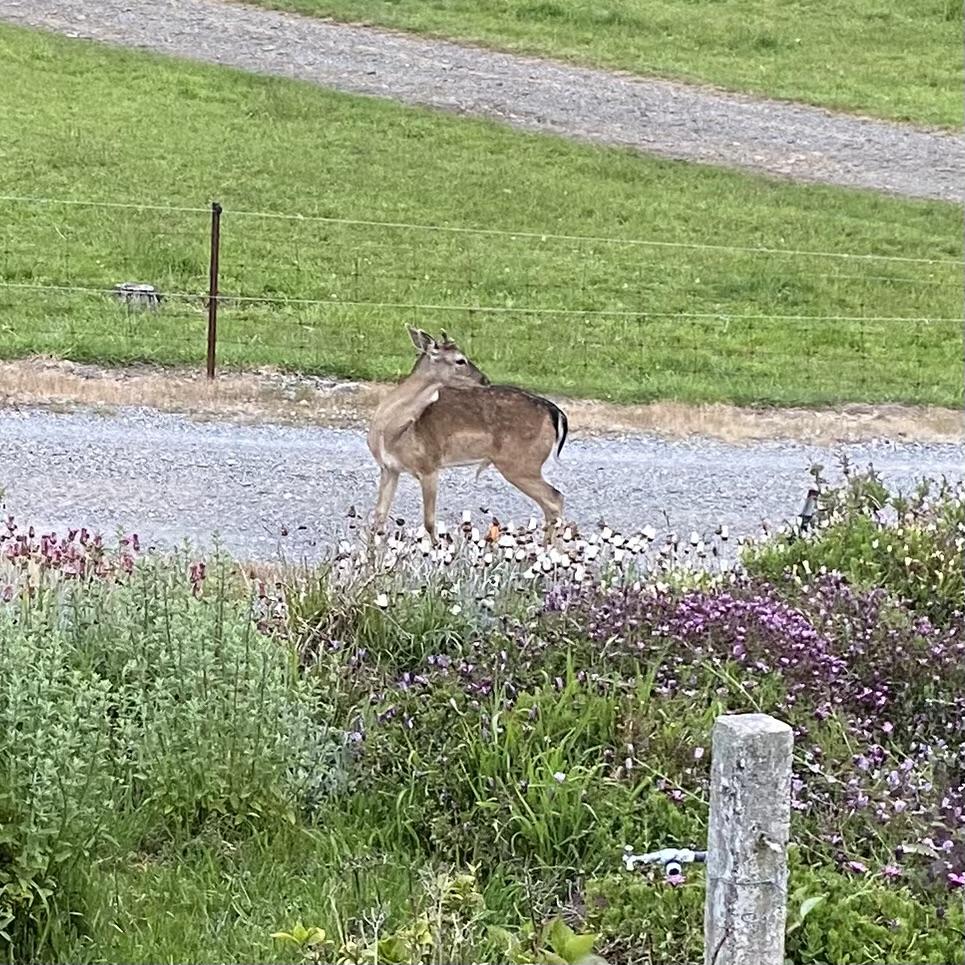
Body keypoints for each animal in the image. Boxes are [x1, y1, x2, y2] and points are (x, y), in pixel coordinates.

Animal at [367, 327, 568, 540]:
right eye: (460, 360)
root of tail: (554, 412)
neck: (394, 432)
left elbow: (429, 522)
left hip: (522, 463)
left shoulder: (429, 464)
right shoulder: (389, 468)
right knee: (550, 503)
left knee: (555, 498)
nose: (485, 379)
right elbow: (379, 516)